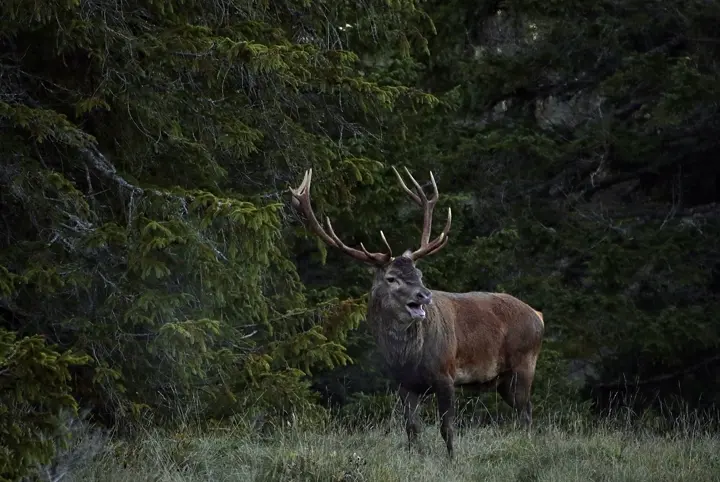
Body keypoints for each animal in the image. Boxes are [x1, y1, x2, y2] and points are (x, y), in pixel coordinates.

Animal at [289, 167, 545, 459]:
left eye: (419, 274)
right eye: (391, 278)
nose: (424, 294)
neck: (407, 357)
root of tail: (538, 315)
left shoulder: (446, 374)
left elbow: (447, 428)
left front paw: (452, 460)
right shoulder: (404, 384)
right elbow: (411, 428)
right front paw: (415, 457)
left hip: (524, 363)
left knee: (526, 413)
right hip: (503, 379)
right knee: (523, 411)